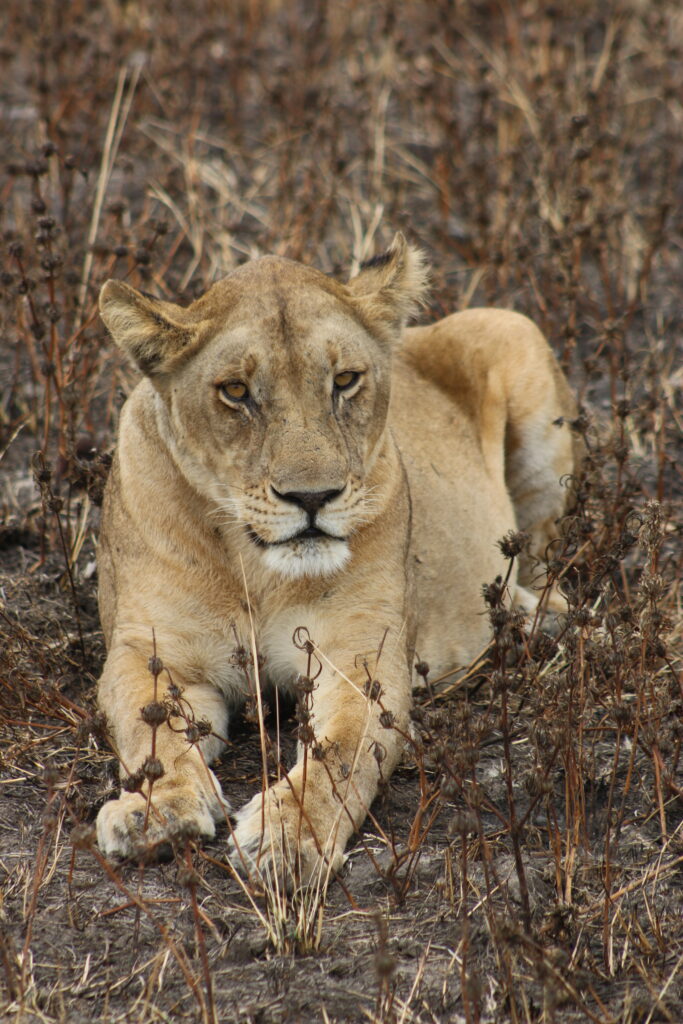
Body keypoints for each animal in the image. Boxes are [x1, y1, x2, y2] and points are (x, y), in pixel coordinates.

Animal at [95, 233, 577, 883]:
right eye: (236, 391)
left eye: (345, 380)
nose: (312, 497)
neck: (255, 566)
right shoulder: (148, 652)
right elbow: (153, 736)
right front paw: (156, 811)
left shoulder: (359, 659)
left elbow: (342, 755)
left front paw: (287, 835)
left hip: (511, 331)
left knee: (549, 567)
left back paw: (533, 619)